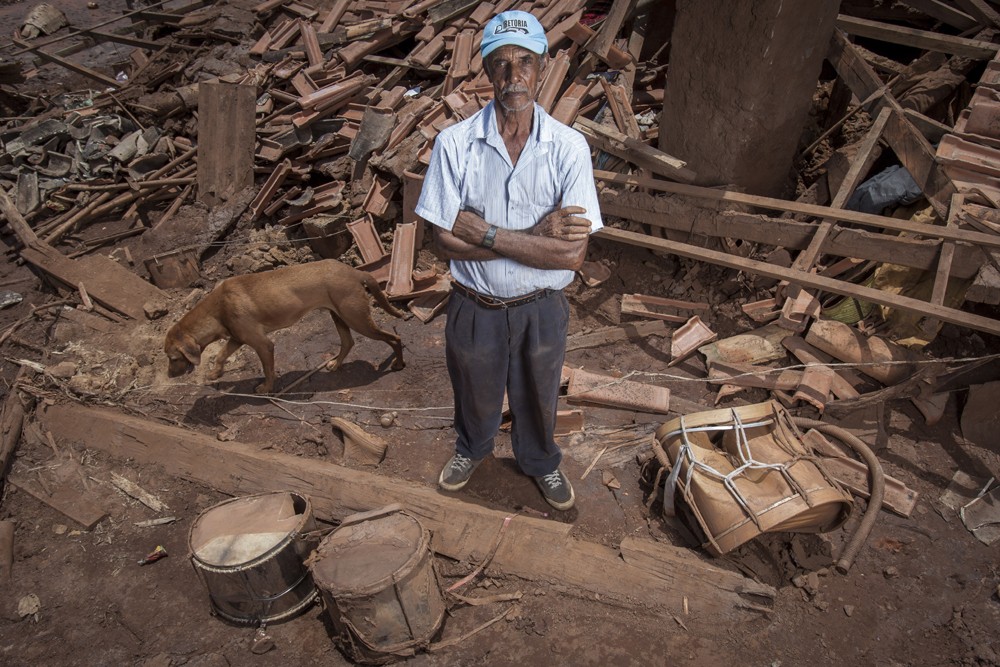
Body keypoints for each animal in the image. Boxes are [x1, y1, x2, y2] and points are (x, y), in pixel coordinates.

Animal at [166, 260, 408, 394]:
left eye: (173, 358)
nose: (169, 376)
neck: (217, 309)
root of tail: (356, 272)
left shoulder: (263, 344)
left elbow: (267, 370)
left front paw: (266, 388)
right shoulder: (237, 337)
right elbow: (220, 355)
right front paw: (216, 373)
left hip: (356, 319)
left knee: (394, 338)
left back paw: (399, 364)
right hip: (339, 316)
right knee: (348, 343)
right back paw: (335, 365)